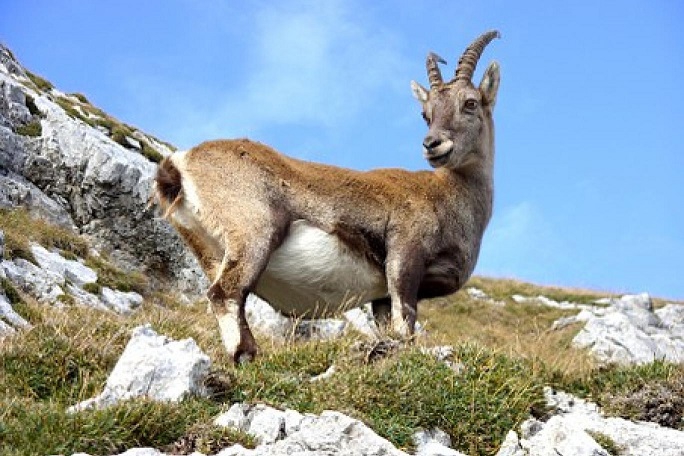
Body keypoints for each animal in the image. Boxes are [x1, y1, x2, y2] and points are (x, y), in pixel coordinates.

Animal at [154, 30, 496, 364]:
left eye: (470, 103)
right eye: (426, 114)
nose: (433, 144)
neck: (451, 196)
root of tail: (181, 163)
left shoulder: (382, 296)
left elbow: (388, 327)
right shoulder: (404, 257)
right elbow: (405, 323)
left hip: (209, 251)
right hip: (255, 232)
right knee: (225, 293)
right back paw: (246, 356)